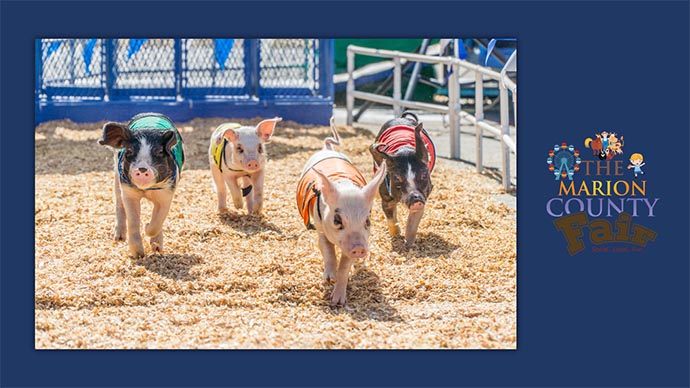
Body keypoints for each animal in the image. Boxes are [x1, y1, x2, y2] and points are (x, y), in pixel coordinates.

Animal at [98, 112, 185, 258]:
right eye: (129, 150)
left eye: (159, 152)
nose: (143, 169)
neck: (146, 190)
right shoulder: (128, 192)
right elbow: (133, 221)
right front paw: (138, 254)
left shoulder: (167, 193)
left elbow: (157, 221)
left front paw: (150, 235)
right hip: (116, 177)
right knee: (119, 203)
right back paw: (119, 238)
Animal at [292, 116, 384, 304]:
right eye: (337, 220)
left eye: (367, 221)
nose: (359, 248)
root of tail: (327, 148)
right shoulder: (320, 225)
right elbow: (327, 250)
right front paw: (329, 278)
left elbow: (345, 266)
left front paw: (338, 301)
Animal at [368, 111, 432, 252]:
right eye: (397, 178)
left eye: (423, 175)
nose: (415, 199)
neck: (404, 151)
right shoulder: (386, 196)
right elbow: (390, 216)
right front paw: (396, 234)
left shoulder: (424, 195)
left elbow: (413, 221)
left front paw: (409, 244)